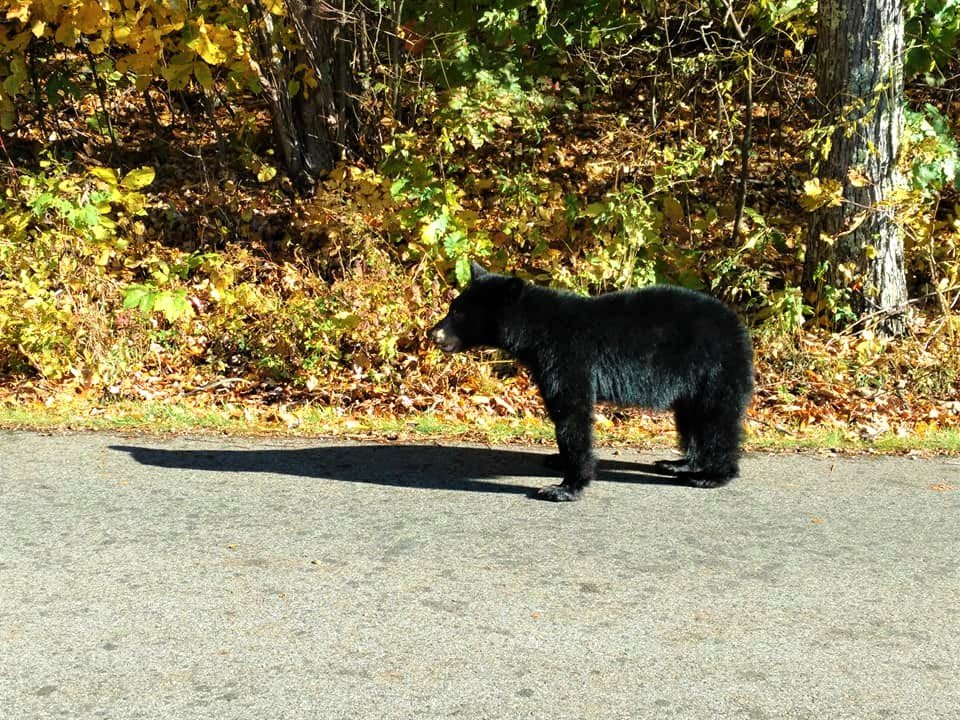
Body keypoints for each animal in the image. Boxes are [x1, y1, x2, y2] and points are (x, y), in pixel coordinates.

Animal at [428, 261, 754, 501]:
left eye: (458, 312)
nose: (433, 333)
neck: (536, 331)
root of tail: (737, 324)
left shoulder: (568, 357)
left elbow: (572, 413)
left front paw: (565, 486)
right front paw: (557, 461)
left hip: (714, 368)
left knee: (717, 420)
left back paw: (711, 475)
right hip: (692, 382)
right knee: (690, 418)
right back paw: (680, 463)